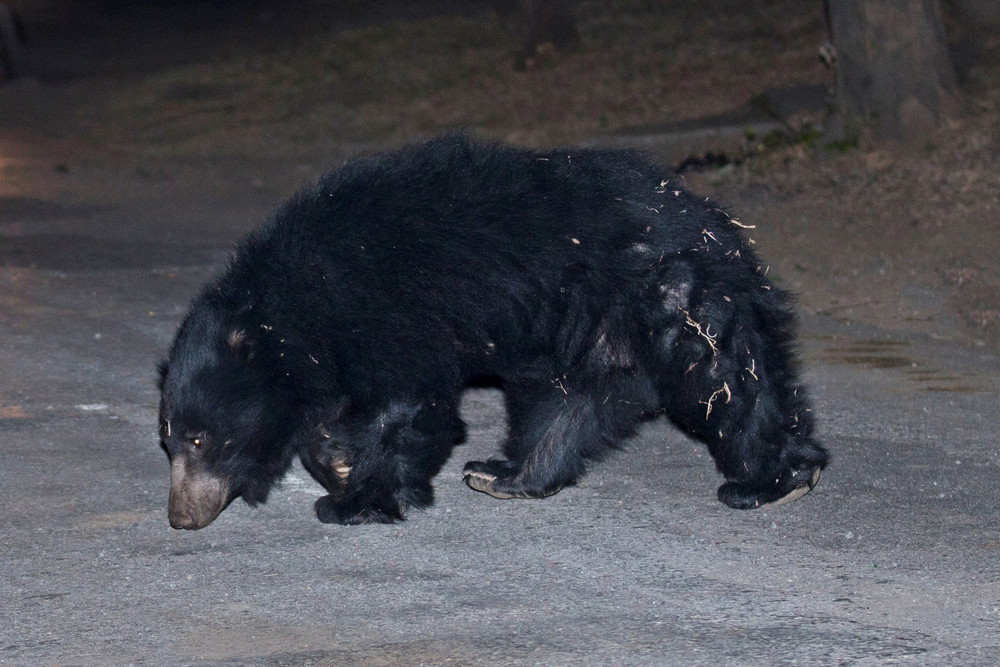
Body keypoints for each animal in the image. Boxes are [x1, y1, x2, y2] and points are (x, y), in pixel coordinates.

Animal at [157, 133, 828, 529]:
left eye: (199, 440)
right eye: (170, 443)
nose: (181, 516)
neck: (289, 304)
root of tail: (716, 222)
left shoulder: (387, 310)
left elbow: (404, 407)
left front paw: (354, 500)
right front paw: (338, 467)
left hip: (674, 295)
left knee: (726, 378)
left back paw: (770, 482)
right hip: (588, 335)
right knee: (565, 405)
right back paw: (511, 475)